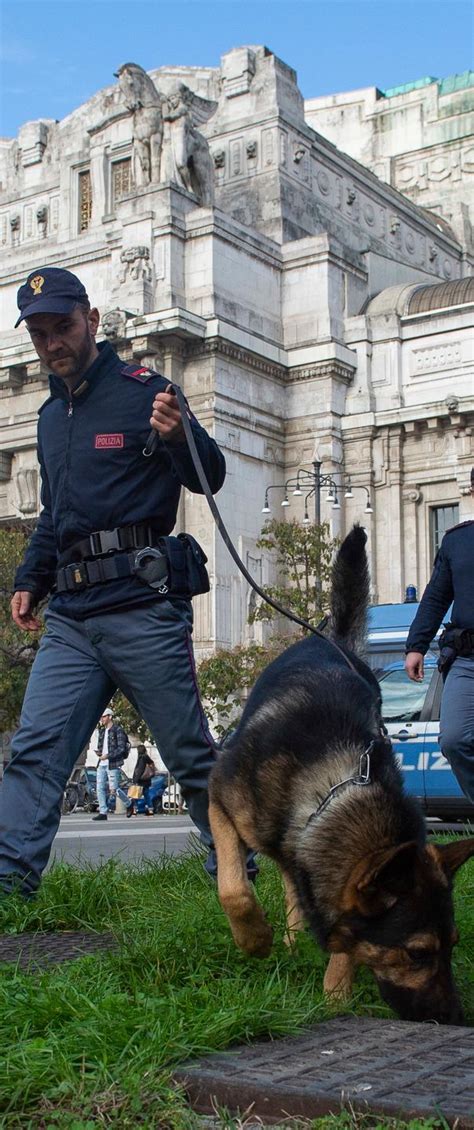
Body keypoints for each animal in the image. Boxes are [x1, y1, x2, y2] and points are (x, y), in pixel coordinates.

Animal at [209, 526, 474, 1026]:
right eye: (417, 953)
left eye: (453, 946)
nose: (454, 1019)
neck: (333, 788)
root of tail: (333, 641)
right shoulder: (218, 801)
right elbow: (233, 886)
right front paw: (254, 938)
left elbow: (345, 943)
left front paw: (335, 997)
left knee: (293, 882)